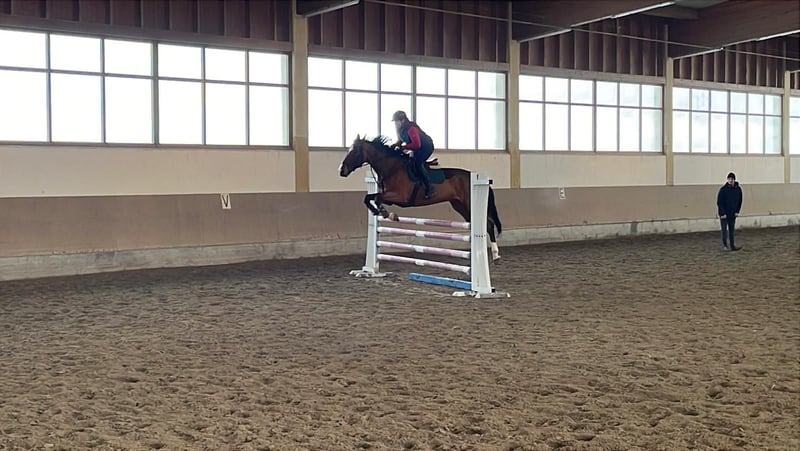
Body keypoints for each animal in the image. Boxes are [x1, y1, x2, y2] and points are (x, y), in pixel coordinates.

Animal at [339, 135, 503, 261]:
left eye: (354, 152)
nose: (341, 170)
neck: (391, 167)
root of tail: (476, 177)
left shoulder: (400, 197)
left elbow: (375, 199)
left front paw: (387, 214)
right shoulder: (388, 197)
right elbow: (368, 198)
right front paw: (380, 212)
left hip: (468, 204)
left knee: (488, 224)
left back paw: (495, 255)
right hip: (460, 206)